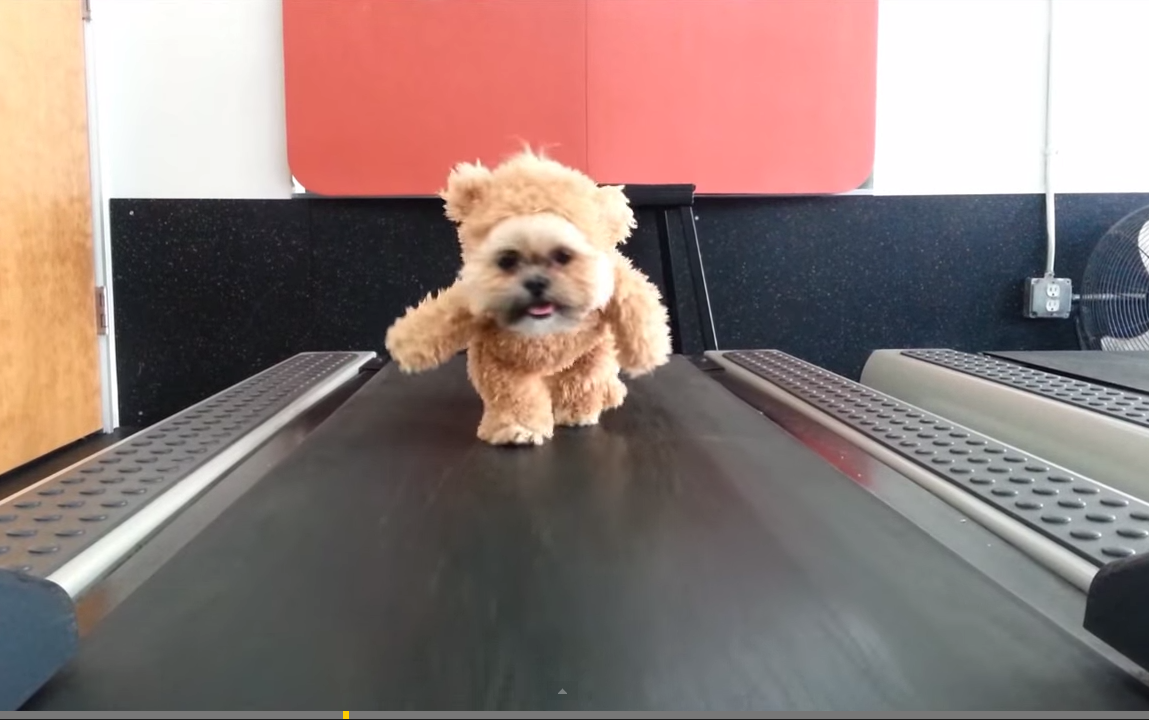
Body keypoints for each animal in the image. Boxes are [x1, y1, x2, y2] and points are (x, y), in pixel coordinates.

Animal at [383, 149, 671, 445]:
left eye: (563, 256)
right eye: (507, 260)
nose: (535, 282)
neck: (544, 332)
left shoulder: (592, 352)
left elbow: (585, 377)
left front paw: (577, 413)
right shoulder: (498, 363)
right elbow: (513, 394)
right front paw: (517, 428)